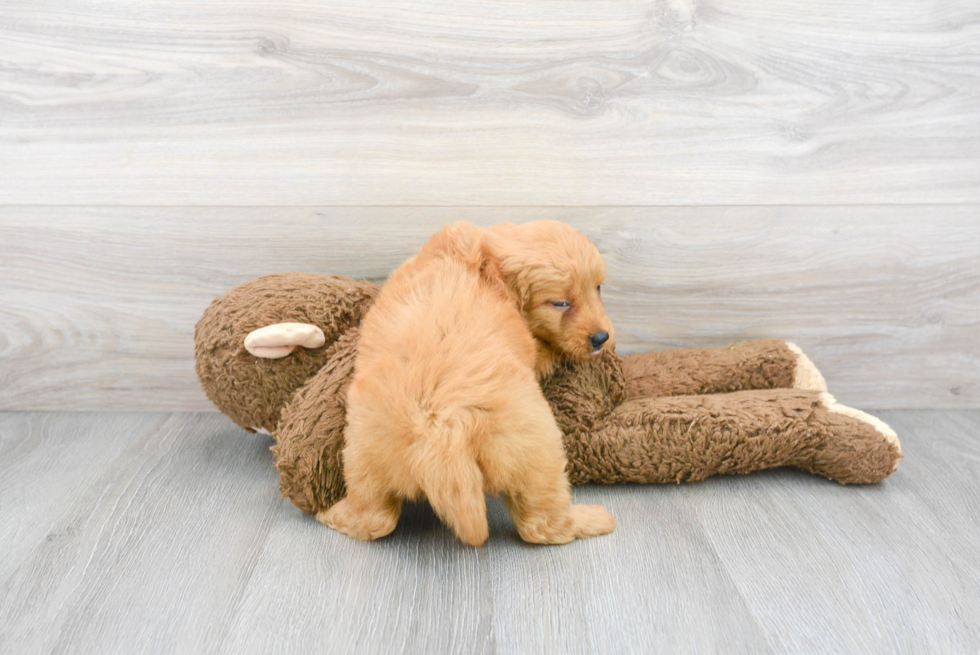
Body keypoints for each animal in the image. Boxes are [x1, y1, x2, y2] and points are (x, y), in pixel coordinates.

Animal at [320, 222, 612, 548]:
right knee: (542, 524)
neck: (484, 259)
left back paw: (334, 515)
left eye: (598, 287)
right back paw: (594, 519)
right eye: (560, 303)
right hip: (538, 449)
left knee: (373, 518)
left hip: (364, 453)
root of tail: (442, 431)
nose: (601, 338)